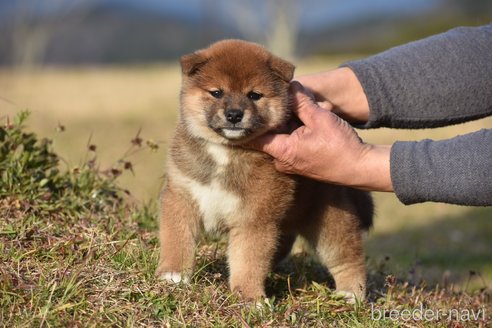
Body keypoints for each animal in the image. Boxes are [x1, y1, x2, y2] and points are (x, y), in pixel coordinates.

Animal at [158, 40, 372, 302]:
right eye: (217, 92)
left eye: (254, 95)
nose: (234, 115)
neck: (227, 152)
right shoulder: (181, 197)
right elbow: (176, 240)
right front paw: (172, 275)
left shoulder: (256, 218)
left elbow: (248, 261)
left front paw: (249, 298)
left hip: (331, 223)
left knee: (348, 258)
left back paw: (351, 295)